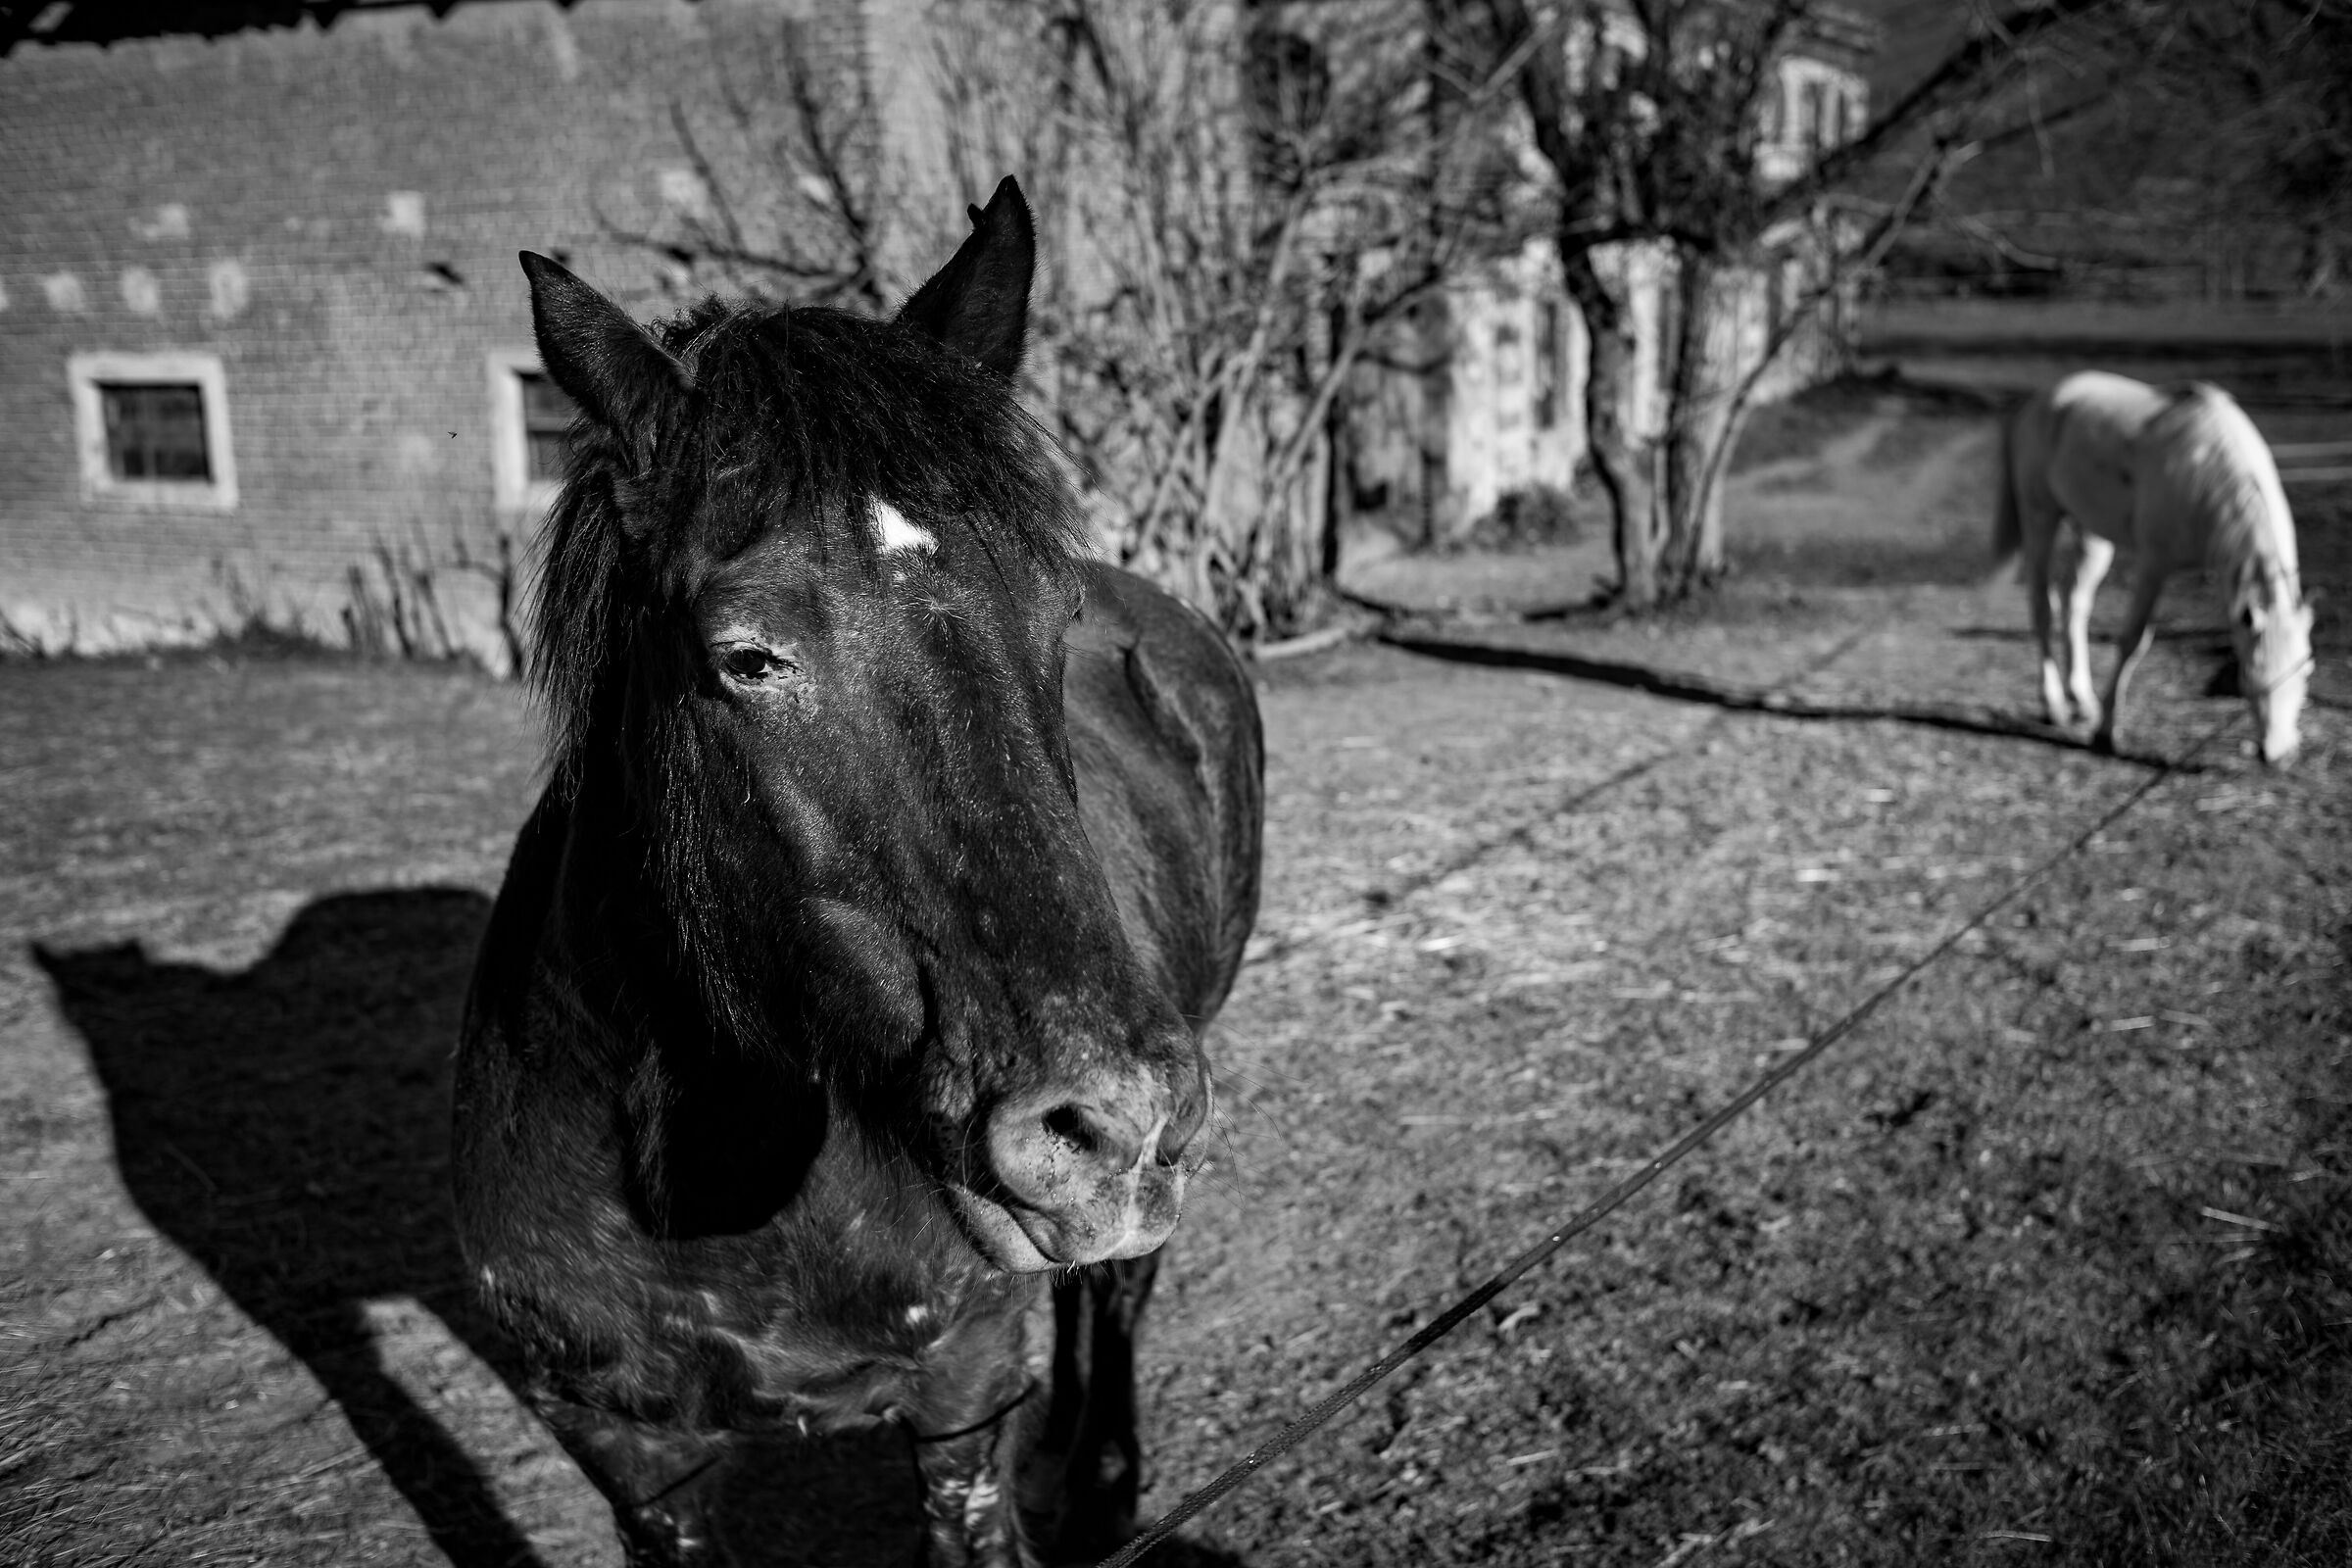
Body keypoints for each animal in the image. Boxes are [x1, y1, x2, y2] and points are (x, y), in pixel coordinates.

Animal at [452, 177, 1263, 1568]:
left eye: (1055, 617)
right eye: (746, 655)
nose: (1108, 1124)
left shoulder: (959, 1403)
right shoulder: (632, 1457)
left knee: (1115, 1288)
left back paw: (1099, 1478)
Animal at [1992, 369, 2312, 764]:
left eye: (2306, 671)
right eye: (2251, 676)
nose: (2279, 754)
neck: (2206, 475)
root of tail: (2038, 401)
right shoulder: (2154, 564)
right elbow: (2133, 639)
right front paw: (2105, 733)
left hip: (2092, 531)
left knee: (2074, 602)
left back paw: (2081, 699)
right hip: (2040, 515)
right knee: (2042, 603)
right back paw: (2053, 706)